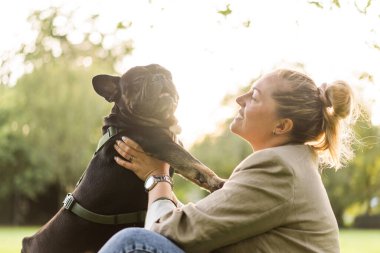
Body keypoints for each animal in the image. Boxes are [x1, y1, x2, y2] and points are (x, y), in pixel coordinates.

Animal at [22, 64, 224, 252]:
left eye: (167, 74)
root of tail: (28, 243)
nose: (160, 77)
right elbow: (195, 163)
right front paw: (219, 182)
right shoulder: (163, 145)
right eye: (138, 80)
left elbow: (192, 170)